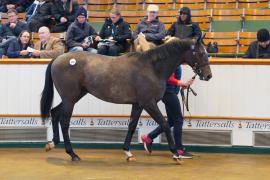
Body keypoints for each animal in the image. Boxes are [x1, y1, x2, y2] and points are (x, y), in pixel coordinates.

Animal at [40, 38, 213, 162]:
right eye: (200, 53)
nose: (208, 75)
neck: (152, 68)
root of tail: (58, 58)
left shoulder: (138, 104)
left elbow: (132, 125)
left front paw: (128, 152)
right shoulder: (149, 103)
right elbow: (164, 123)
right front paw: (175, 154)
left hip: (74, 96)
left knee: (54, 113)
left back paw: (52, 143)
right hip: (70, 98)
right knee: (64, 121)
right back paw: (72, 154)